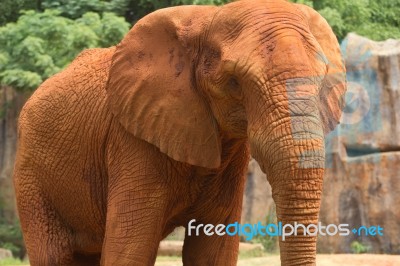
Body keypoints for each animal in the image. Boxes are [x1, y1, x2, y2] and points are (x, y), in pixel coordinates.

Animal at [12, 0, 344, 264]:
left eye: (322, 80)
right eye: (234, 83)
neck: (207, 19)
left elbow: (213, 251)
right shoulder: (132, 140)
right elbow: (130, 252)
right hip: (32, 178)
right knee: (53, 254)